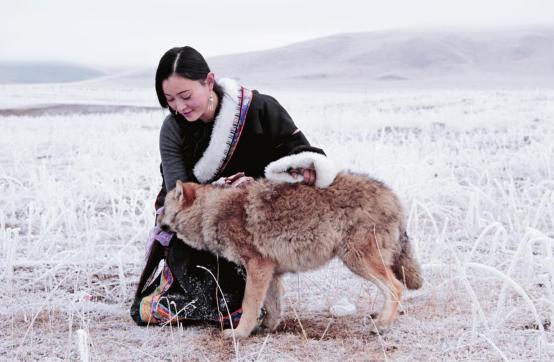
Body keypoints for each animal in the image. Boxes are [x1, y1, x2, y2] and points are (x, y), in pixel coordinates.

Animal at [157, 173, 420, 340]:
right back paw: (380, 318)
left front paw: (240, 333)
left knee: (396, 287)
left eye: (164, 207)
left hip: (356, 260)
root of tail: (394, 198)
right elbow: (271, 306)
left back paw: (383, 325)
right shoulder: (270, 272)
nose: (156, 215)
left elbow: (250, 304)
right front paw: (267, 327)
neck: (211, 212)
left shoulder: (257, 266)